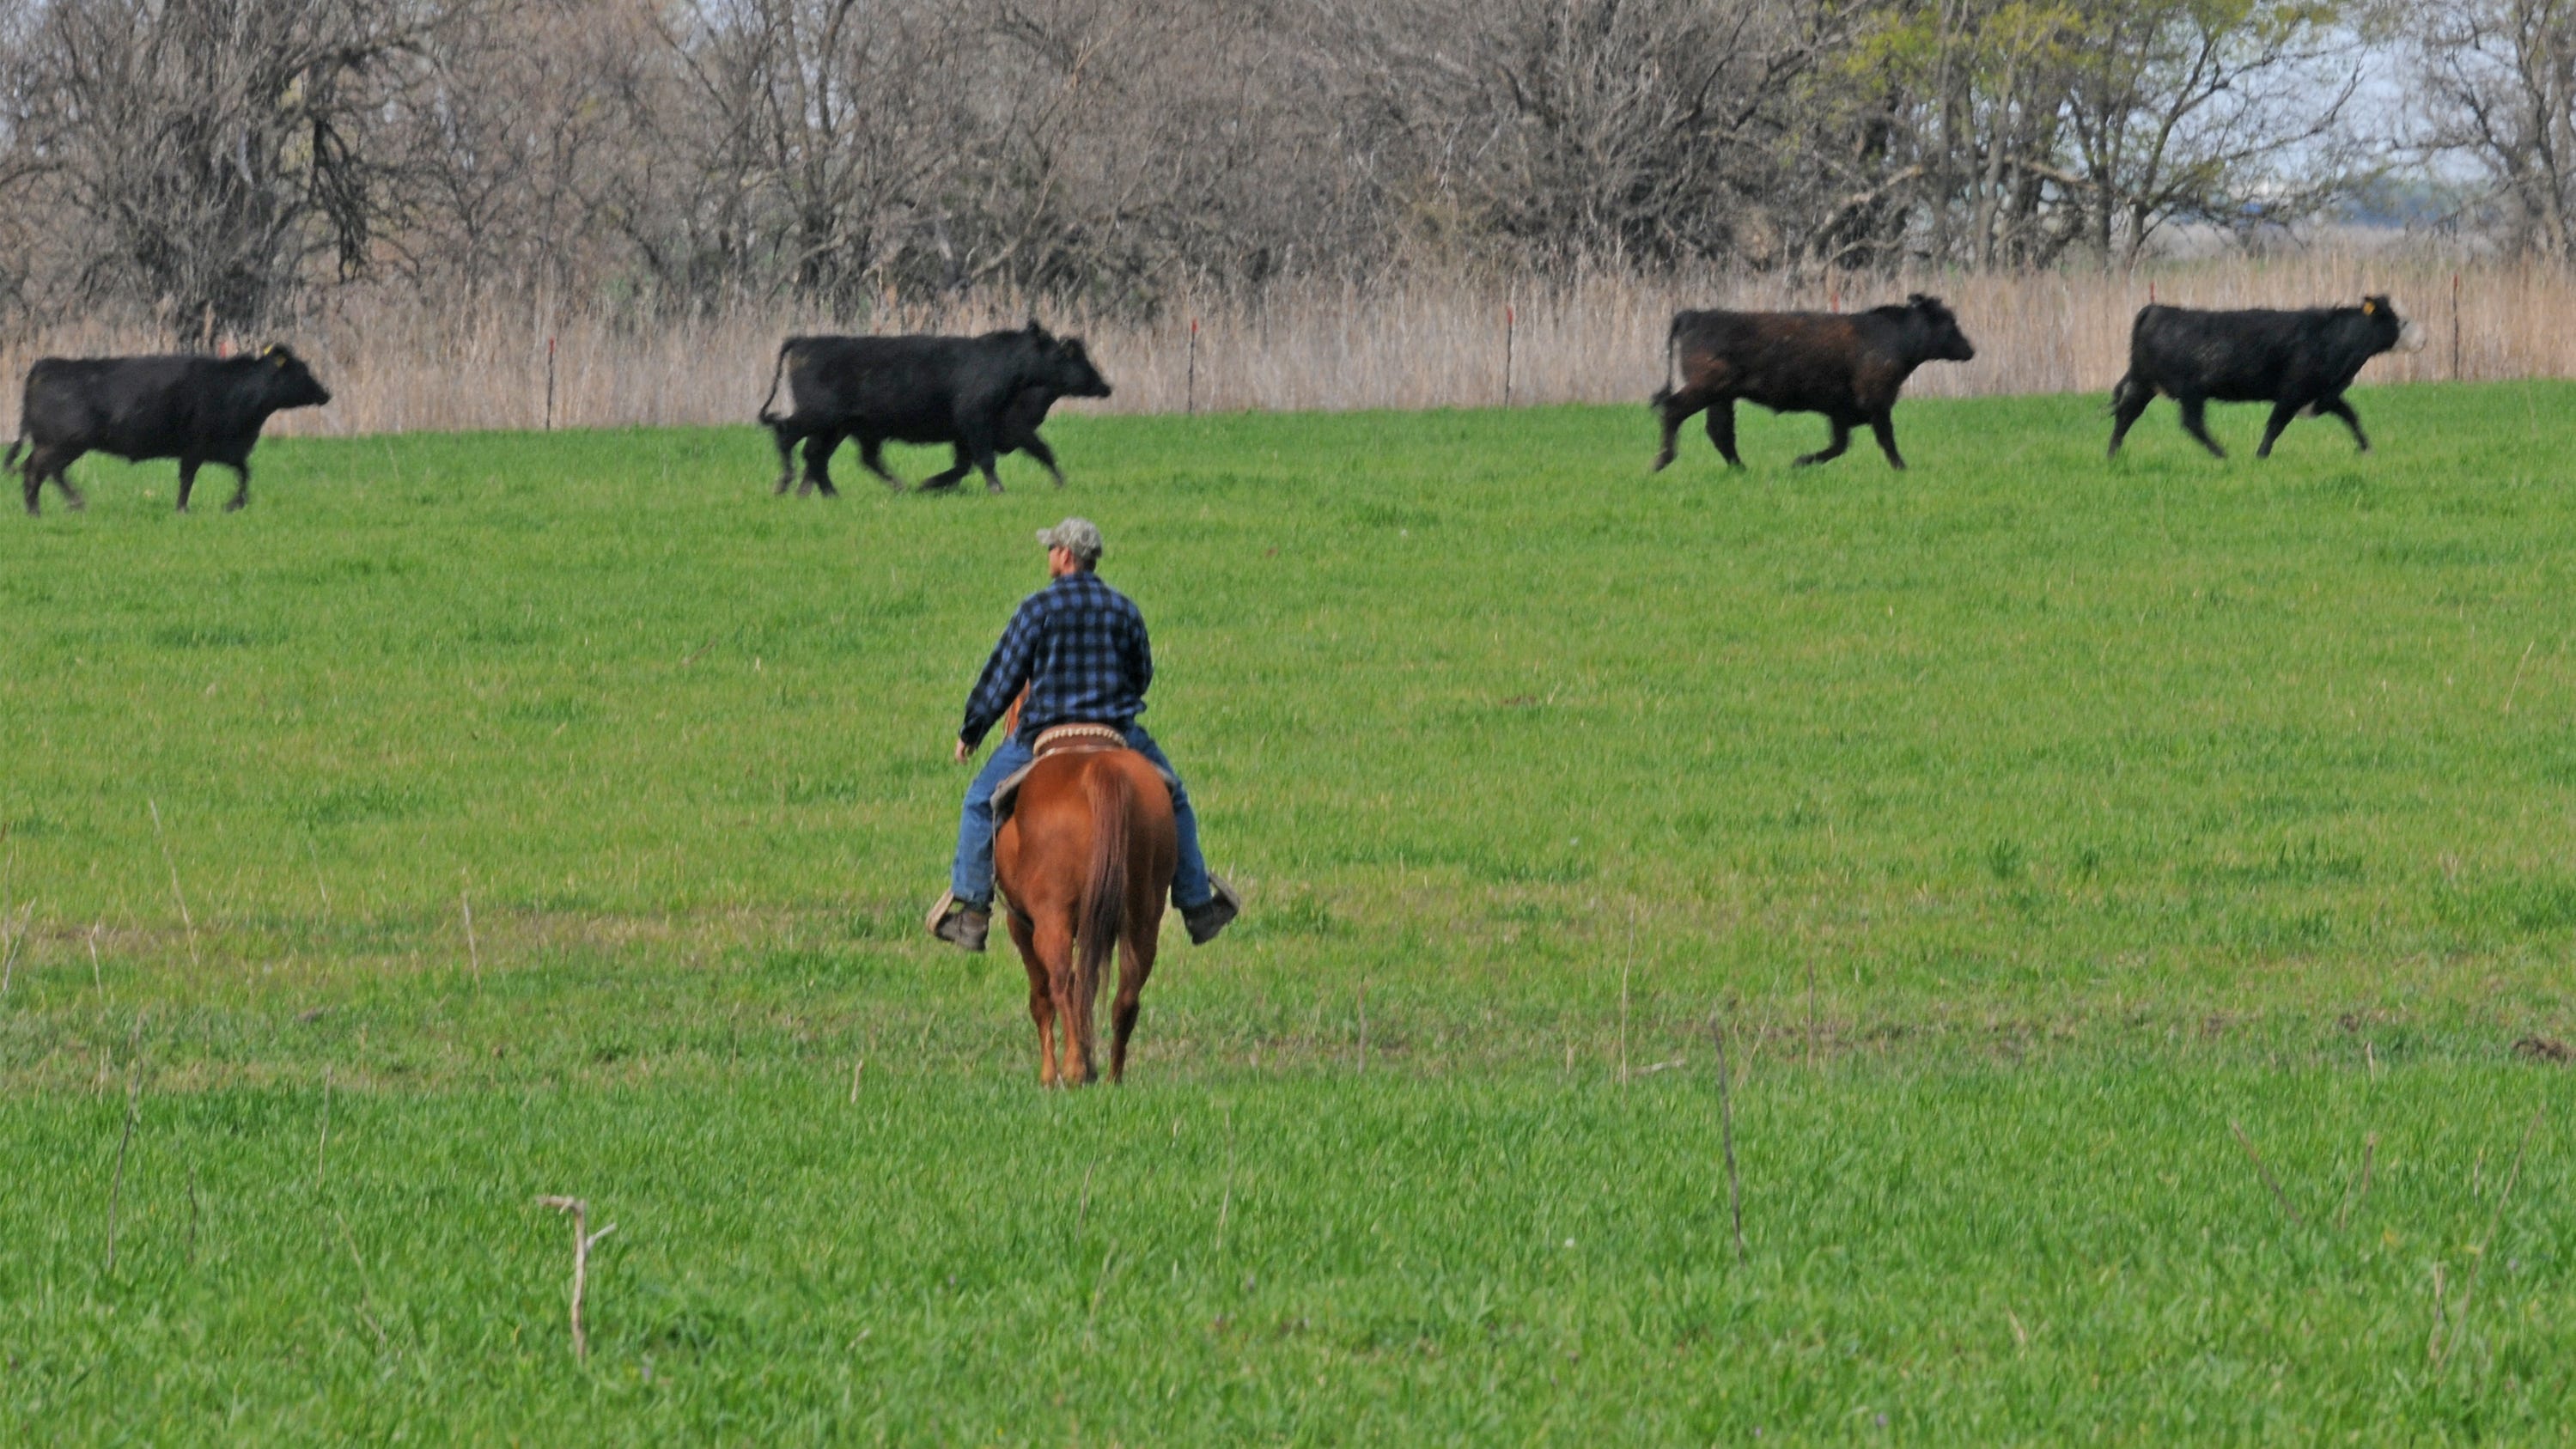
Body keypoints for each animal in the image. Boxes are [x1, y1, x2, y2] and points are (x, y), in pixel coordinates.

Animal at [9, 346, 332, 515]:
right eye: (301, 370)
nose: (326, 394)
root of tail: (45, 365)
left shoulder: (226, 449)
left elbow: (244, 472)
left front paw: (234, 503)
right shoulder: (196, 447)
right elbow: (188, 480)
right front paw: (183, 509)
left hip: (56, 444)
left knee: (42, 469)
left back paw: (50, 506)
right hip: (64, 442)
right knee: (37, 470)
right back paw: (42, 509)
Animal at [754, 322, 1112, 497]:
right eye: (1066, 354)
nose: (1105, 385)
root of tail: (805, 341)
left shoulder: (971, 433)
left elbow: (972, 463)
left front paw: (930, 484)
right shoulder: (977, 420)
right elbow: (988, 459)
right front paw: (998, 489)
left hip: (840, 427)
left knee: (823, 456)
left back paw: (834, 492)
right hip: (821, 417)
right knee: (788, 434)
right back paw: (787, 483)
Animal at [1650, 294, 1977, 472]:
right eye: (1949, 323)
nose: (1970, 349)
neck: (1893, 336)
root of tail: (1694, 315)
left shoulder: (1841, 410)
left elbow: (1839, 445)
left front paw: (1801, 462)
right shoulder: (1876, 401)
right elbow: (1886, 439)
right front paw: (1902, 468)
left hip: (1721, 397)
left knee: (1720, 431)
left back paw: (1741, 469)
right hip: (1706, 388)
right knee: (1674, 410)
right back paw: (1662, 461)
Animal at [2108, 297, 2424, 460]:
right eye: (2403, 321)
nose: (2424, 340)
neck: (2331, 336)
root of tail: (2158, 309)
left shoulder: (2324, 394)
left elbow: (2351, 416)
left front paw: (2367, 449)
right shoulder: (2293, 392)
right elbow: (2275, 425)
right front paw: (2261, 455)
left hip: (2145, 385)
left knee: (2126, 415)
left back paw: (2113, 454)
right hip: (2188, 392)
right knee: (2191, 423)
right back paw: (2222, 454)